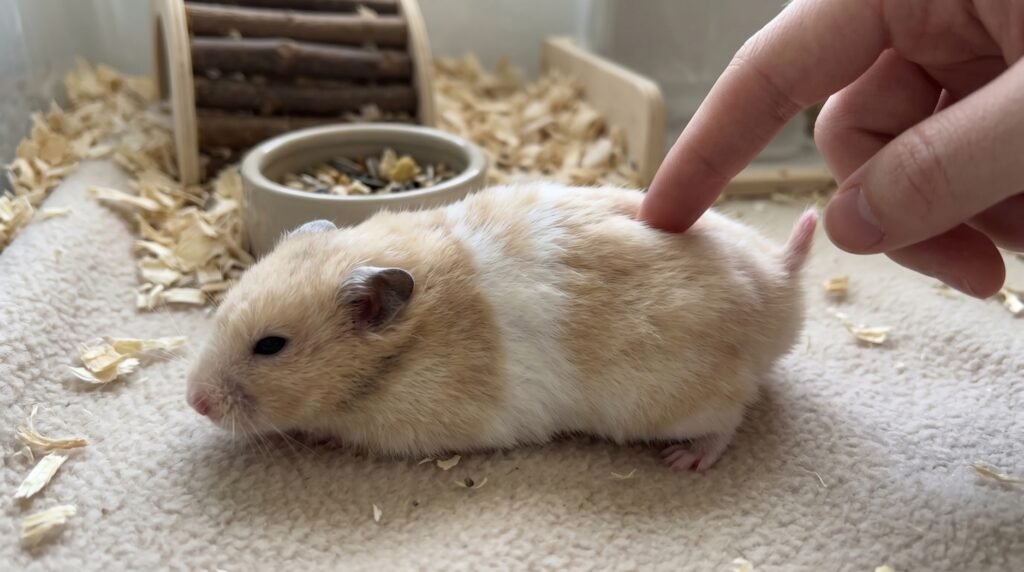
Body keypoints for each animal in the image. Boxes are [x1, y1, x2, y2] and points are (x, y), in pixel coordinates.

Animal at [186, 183, 817, 471]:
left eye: (271, 346)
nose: (194, 401)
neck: (393, 360)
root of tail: (782, 287)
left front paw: (316, 435)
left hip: (679, 402)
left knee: (731, 418)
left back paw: (686, 460)